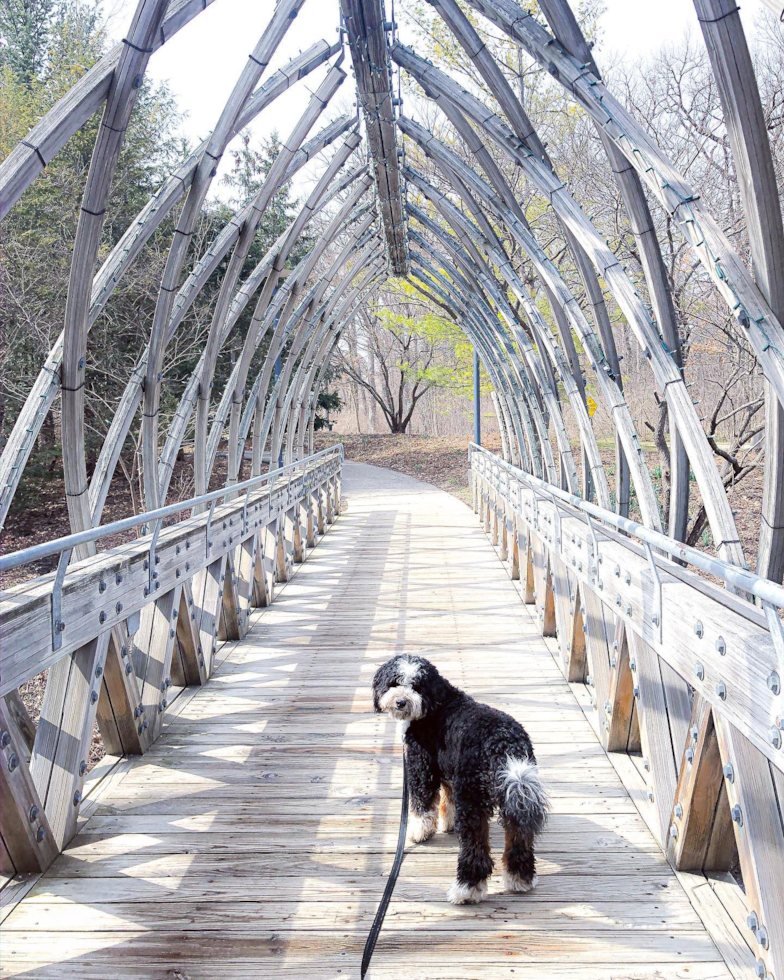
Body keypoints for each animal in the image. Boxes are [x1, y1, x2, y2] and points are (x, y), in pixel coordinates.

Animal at [370, 656, 548, 908]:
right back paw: (520, 879)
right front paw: (448, 822)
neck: (436, 705)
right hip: (514, 797)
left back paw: (466, 891)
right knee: (519, 838)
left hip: (473, 799)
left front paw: (419, 832)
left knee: (476, 850)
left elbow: (422, 805)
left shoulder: (422, 766)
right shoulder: (450, 773)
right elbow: (448, 800)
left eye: (416, 686)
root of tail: (505, 745)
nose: (401, 702)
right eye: (395, 682)